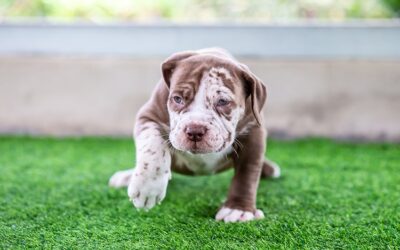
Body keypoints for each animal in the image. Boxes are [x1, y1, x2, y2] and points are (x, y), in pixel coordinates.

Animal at [108, 47, 280, 223]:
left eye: (223, 101)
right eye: (177, 99)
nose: (195, 130)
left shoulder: (254, 132)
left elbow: (247, 173)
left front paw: (238, 209)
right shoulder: (148, 116)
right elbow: (153, 147)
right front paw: (147, 187)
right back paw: (127, 176)